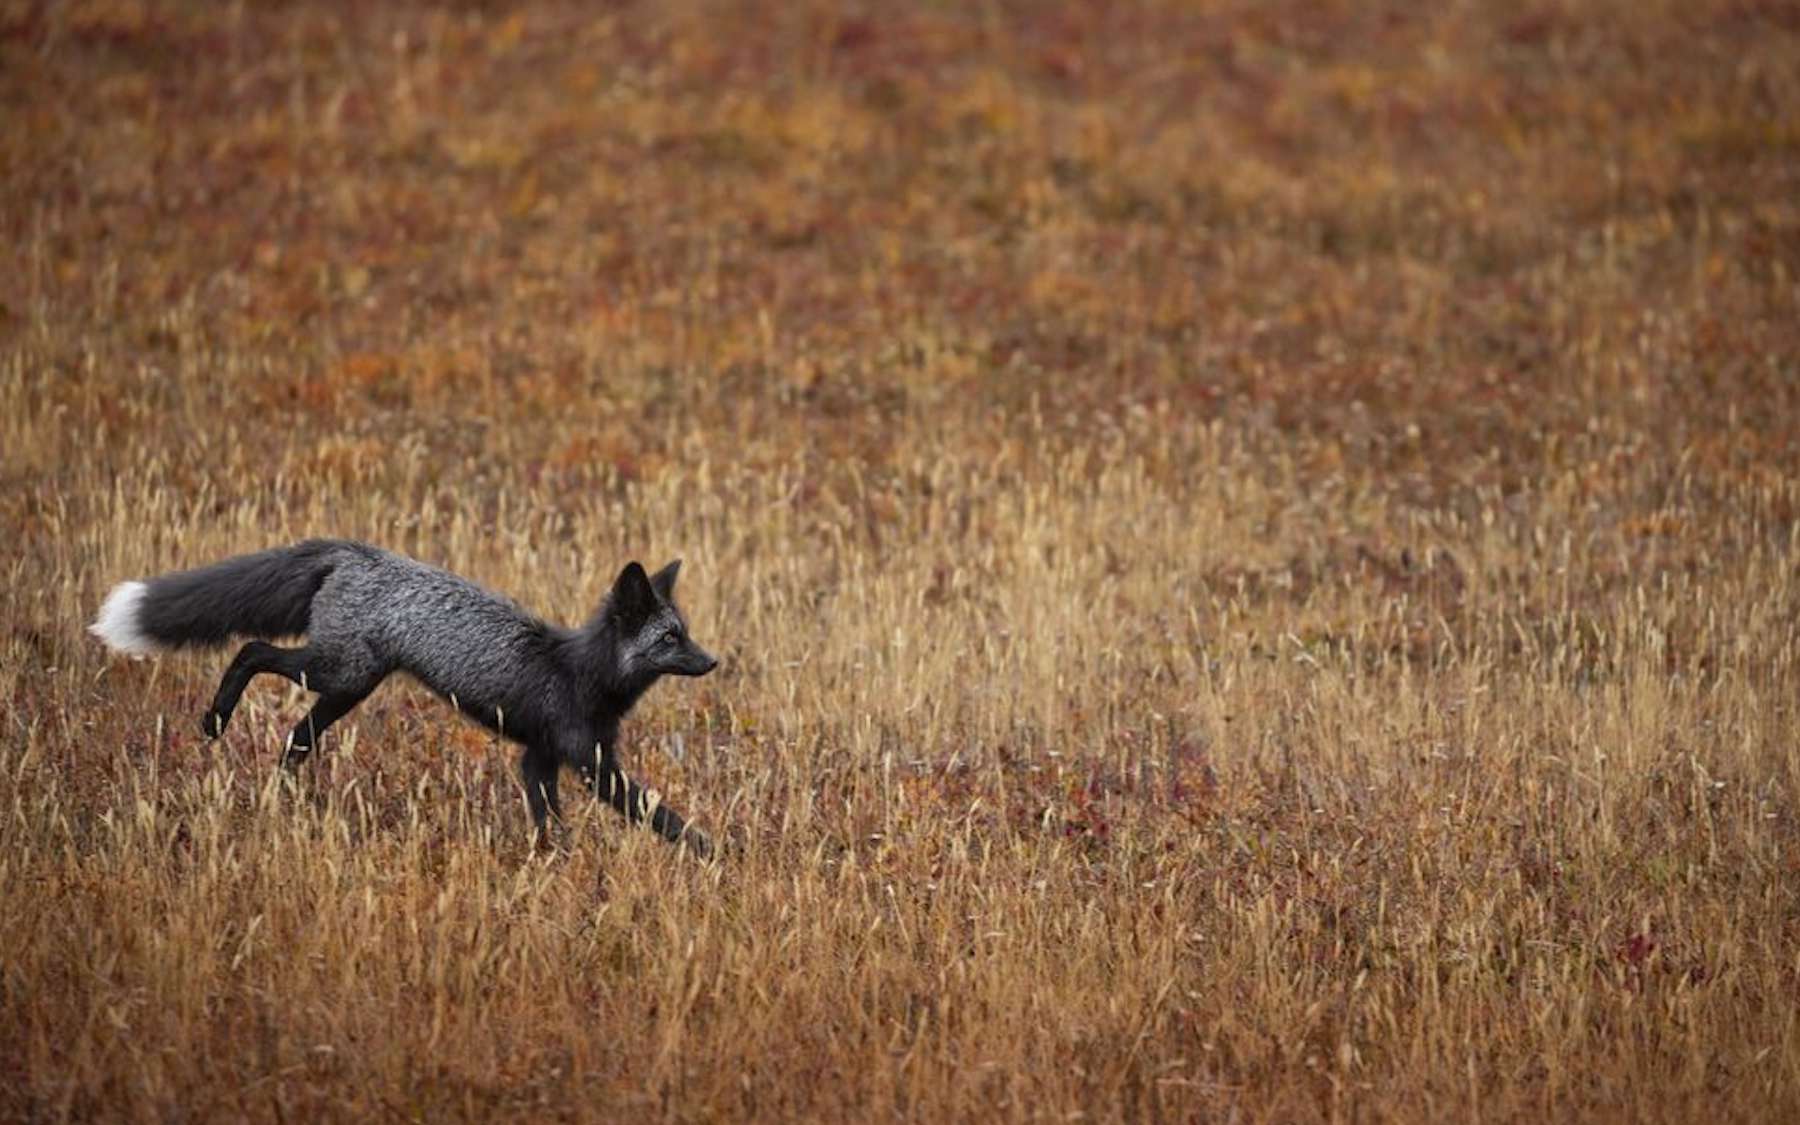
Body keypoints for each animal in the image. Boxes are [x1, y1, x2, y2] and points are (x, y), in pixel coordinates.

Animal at [89, 540, 718, 857]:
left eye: (685, 632)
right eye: (670, 639)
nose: (713, 661)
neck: (582, 673)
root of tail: (359, 552)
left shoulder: (537, 757)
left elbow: (548, 820)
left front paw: (554, 865)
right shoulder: (588, 761)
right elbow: (658, 813)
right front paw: (714, 854)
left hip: (344, 689)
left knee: (294, 737)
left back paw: (281, 797)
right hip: (335, 672)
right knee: (250, 649)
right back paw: (217, 720)